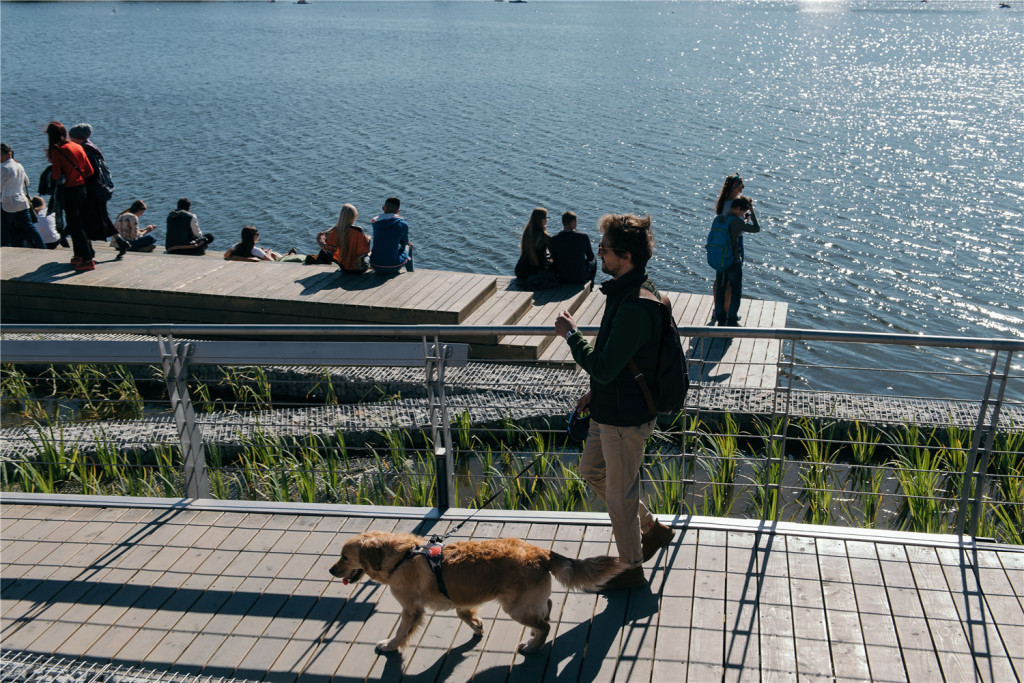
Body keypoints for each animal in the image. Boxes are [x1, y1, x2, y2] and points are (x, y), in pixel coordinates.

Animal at [331, 532, 626, 655]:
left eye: (344, 557)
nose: (332, 570)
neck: (402, 556)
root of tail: (541, 552)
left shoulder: (411, 610)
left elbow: (401, 632)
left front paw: (390, 646)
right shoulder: (461, 599)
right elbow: (466, 616)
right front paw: (478, 627)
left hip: (515, 607)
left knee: (544, 625)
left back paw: (533, 646)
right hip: (526, 602)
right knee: (547, 610)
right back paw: (533, 637)